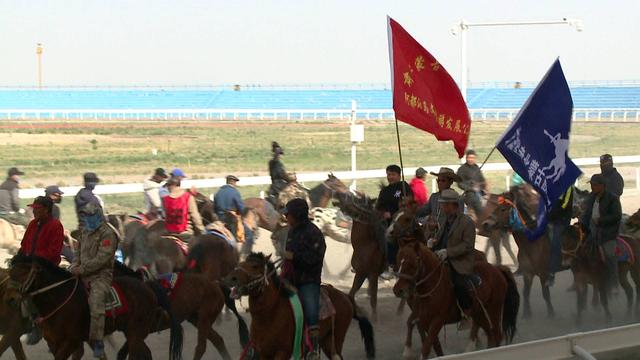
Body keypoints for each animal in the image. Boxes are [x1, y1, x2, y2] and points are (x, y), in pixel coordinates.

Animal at [6, 255, 182, 358]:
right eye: (10, 272)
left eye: (23, 273)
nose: (10, 298)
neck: (59, 300)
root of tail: (147, 286)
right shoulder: (55, 343)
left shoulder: (70, 343)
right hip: (132, 331)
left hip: (136, 332)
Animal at [224, 253, 376, 360]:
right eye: (241, 262)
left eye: (255, 266)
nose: (231, 278)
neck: (272, 312)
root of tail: (346, 297)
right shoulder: (263, 352)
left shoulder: (282, 352)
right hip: (326, 340)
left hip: (335, 339)